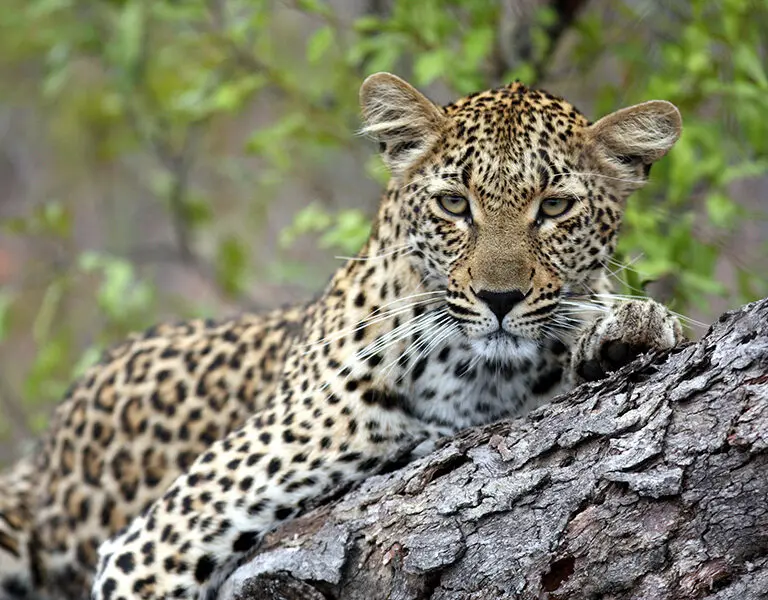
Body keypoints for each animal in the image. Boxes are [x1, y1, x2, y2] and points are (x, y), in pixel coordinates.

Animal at [0, 72, 685, 600]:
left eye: (554, 208)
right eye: (454, 205)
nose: (499, 298)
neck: (479, 377)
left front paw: (629, 325)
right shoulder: (155, 544)